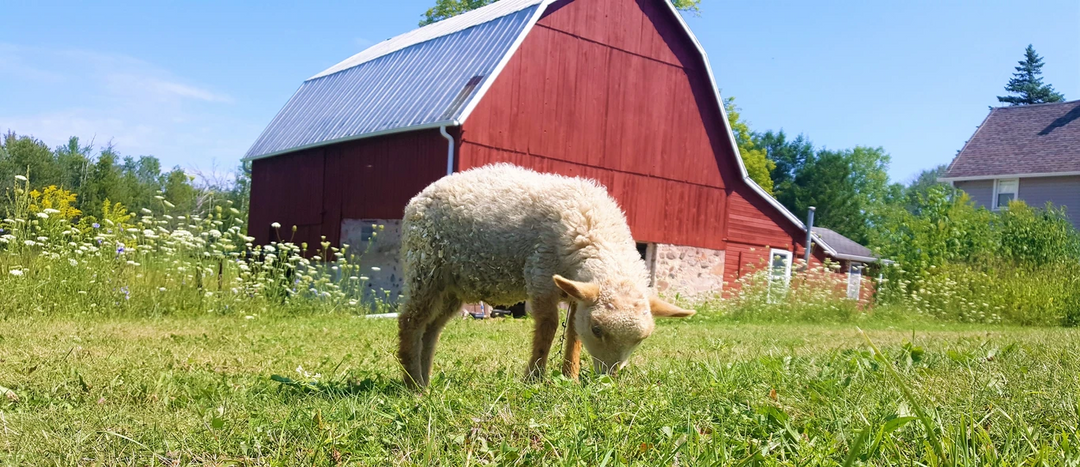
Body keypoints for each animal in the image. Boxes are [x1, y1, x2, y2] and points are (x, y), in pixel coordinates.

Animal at [397, 163, 694, 389]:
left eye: (641, 339)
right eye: (597, 330)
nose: (608, 379)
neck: (588, 225)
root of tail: (419, 196)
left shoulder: (577, 291)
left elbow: (573, 332)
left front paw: (570, 376)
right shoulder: (540, 274)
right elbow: (548, 326)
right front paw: (535, 376)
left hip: (451, 286)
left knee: (431, 328)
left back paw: (424, 380)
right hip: (425, 267)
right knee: (411, 321)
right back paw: (413, 385)